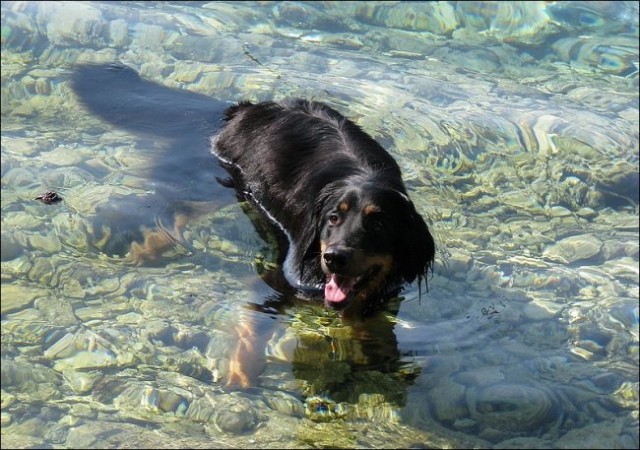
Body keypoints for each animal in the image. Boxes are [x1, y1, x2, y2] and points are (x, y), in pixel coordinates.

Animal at [72, 63, 438, 386]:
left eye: (378, 225)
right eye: (334, 218)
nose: (334, 257)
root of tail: (247, 109)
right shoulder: (277, 277)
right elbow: (256, 327)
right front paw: (242, 370)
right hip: (230, 179)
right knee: (181, 209)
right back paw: (148, 247)